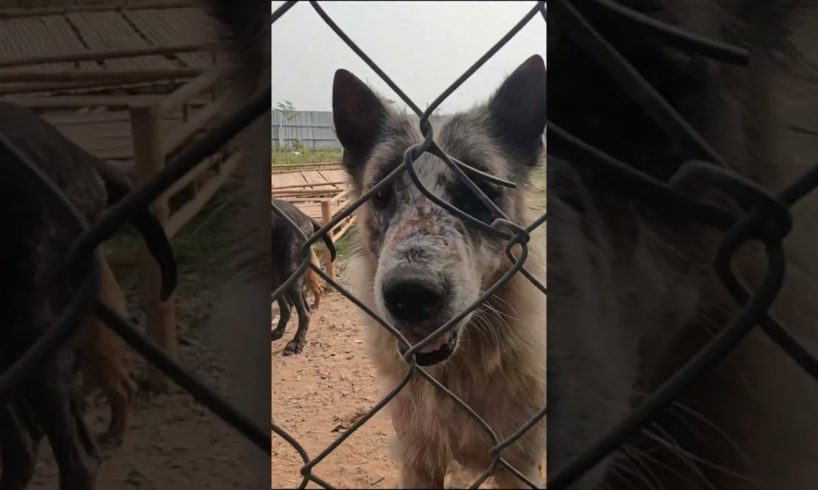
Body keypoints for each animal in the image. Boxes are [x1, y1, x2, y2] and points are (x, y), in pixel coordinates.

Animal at [268, 198, 332, 356]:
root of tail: (304, 216)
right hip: (276, 276)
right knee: (286, 306)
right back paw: (278, 332)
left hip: (291, 271)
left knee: (305, 311)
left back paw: (297, 342)